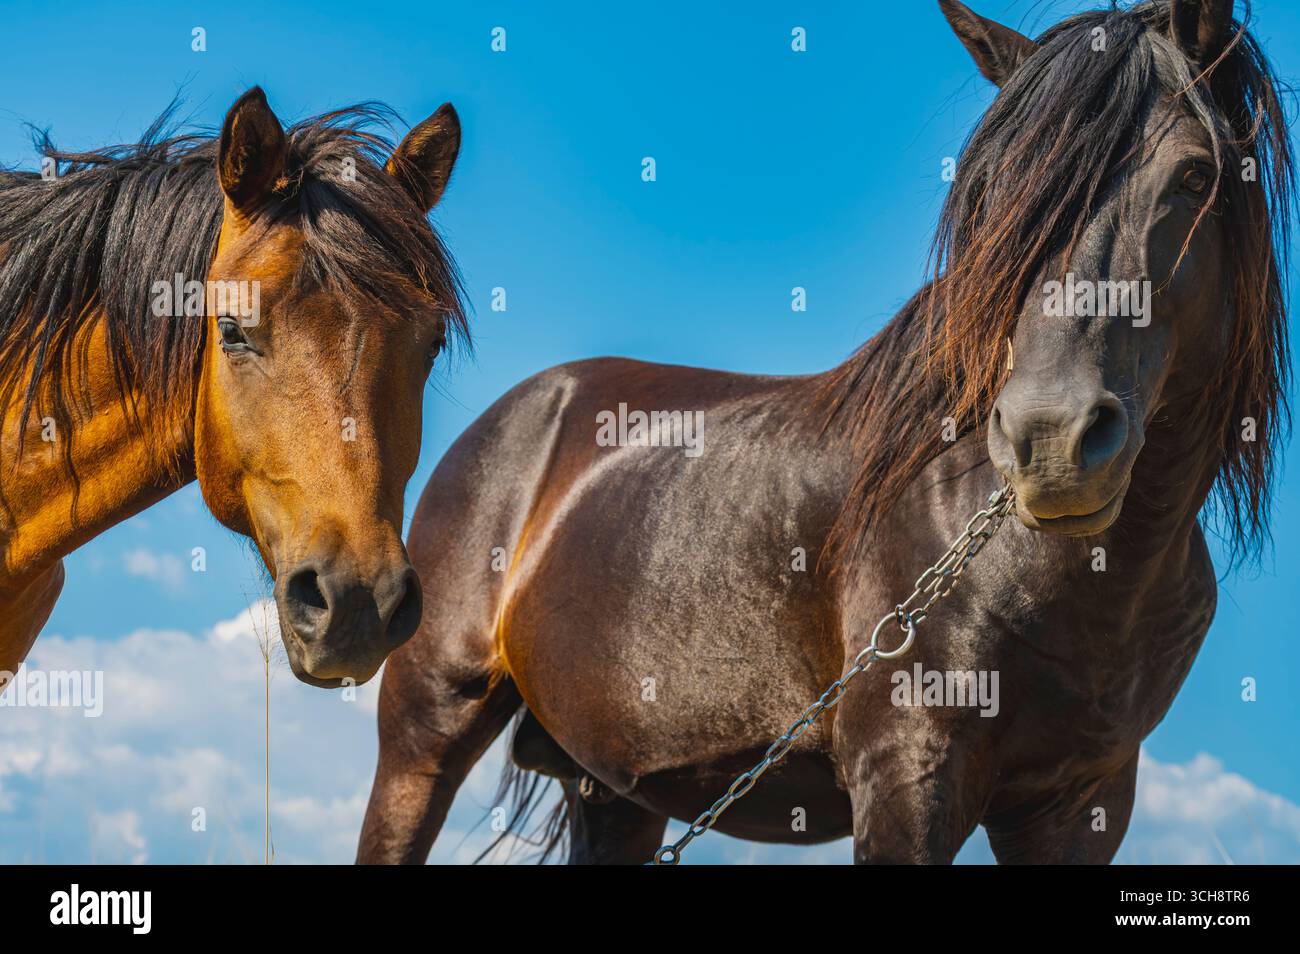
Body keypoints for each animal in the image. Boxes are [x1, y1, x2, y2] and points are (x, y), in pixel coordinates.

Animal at [359, 0, 1292, 864]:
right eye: (996, 194)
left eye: (1194, 175)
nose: (1050, 442)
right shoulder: (908, 776)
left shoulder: (1082, 803)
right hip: (426, 731)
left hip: (615, 790)